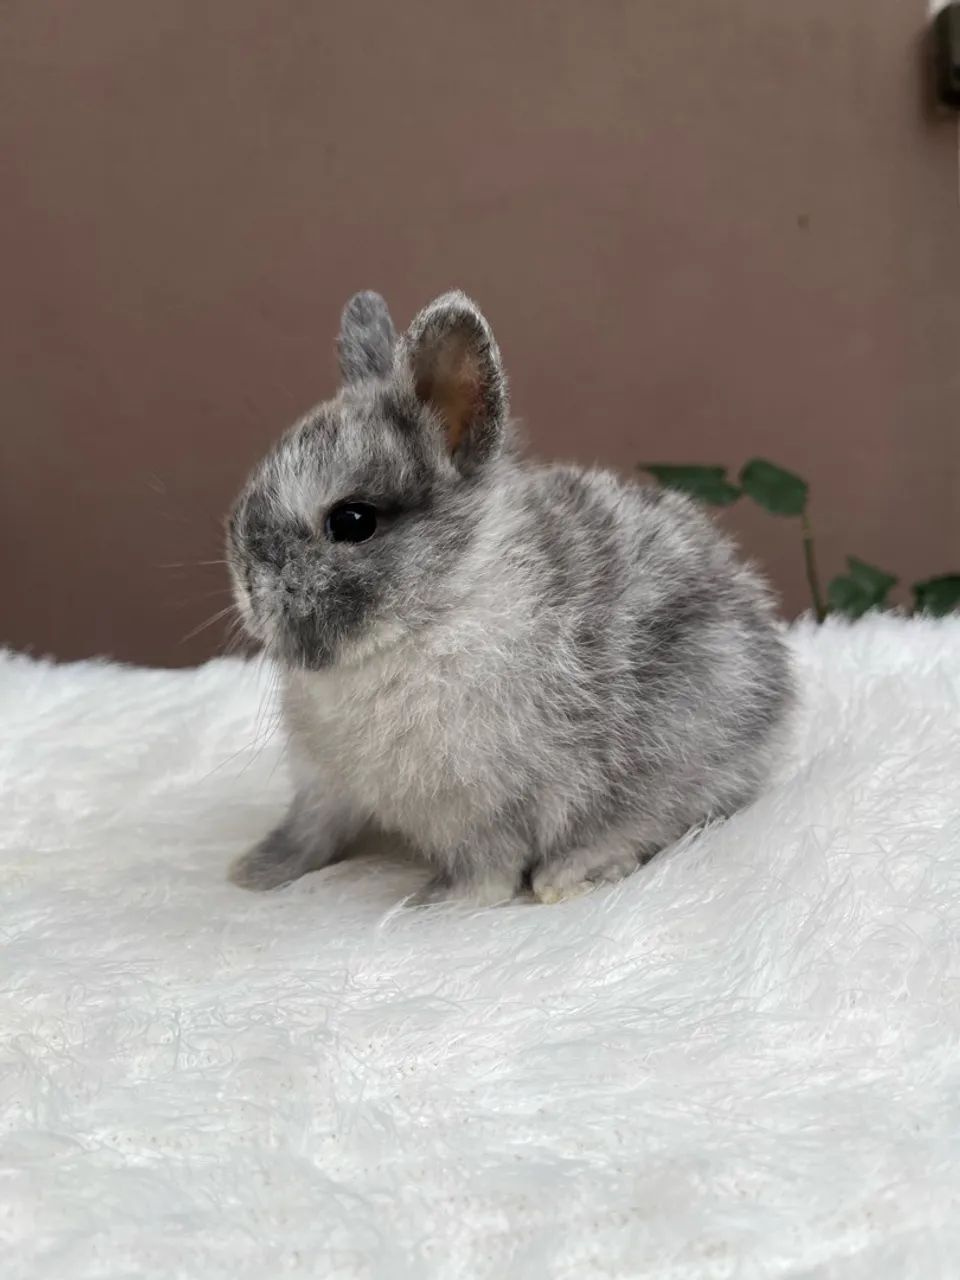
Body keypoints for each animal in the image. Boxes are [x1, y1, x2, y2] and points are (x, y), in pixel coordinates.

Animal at [226, 289, 793, 905]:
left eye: (353, 521)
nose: (249, 589)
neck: (432, 612)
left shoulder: (488, 807)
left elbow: (486, 871)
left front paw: (434, 905)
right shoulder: (322, 786)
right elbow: (309, 832)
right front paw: (254, 873)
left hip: (684, 747)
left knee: (656, 820)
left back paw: (567, 875)